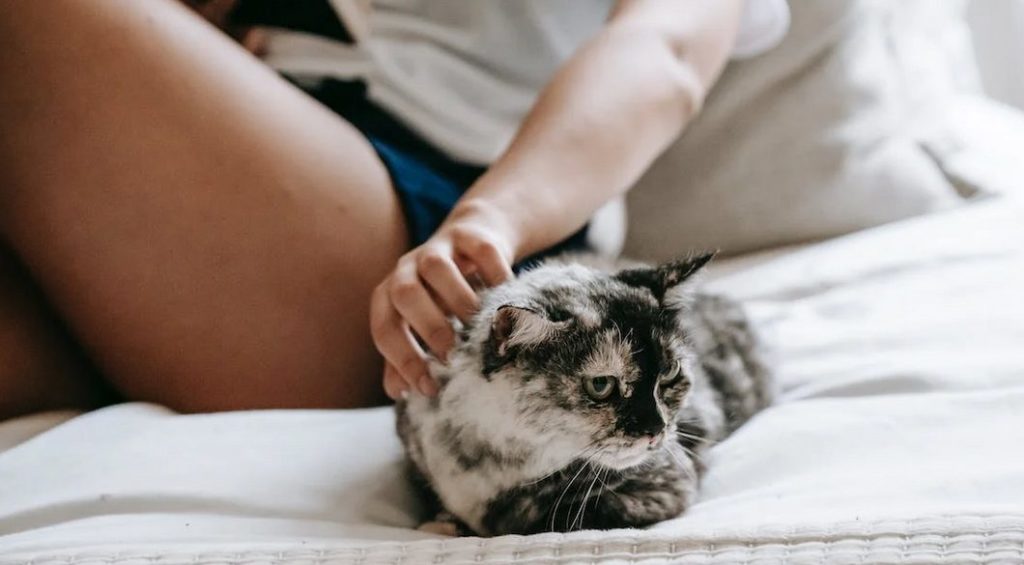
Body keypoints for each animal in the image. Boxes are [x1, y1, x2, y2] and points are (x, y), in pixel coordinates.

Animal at [395, 253, 770, 536]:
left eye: (669, 373)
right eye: (601, 386)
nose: (656, 430)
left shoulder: (667, 483)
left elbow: (540, 518)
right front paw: (444, 521)